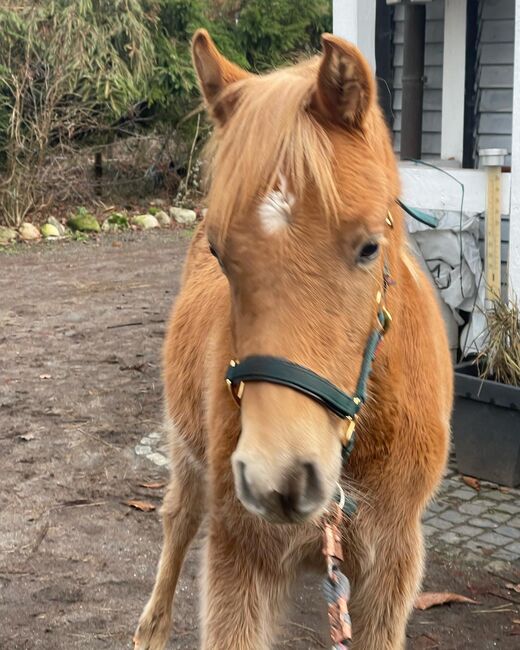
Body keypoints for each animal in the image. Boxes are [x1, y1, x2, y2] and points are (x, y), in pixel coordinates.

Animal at [133, 27, 450, 644]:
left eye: (370, 247)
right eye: (220, 253)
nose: (279, 478)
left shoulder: (392, 566)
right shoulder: (239, 559)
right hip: (187, 453)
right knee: (178, 520)